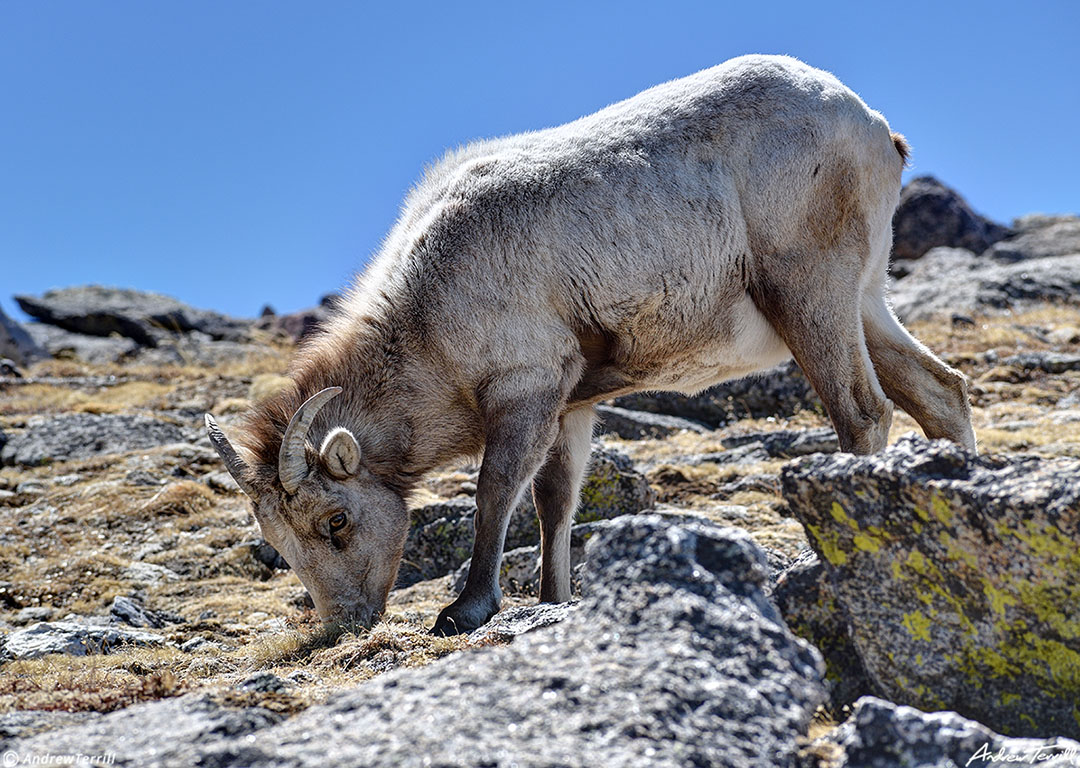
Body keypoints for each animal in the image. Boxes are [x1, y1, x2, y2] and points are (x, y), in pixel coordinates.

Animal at [206, 54, 976, 635]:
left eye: (335, 520)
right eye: (280, 544)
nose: (345, 625)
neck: (423, 315)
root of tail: (874, 129)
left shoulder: (526, 388)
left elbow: (497, 490)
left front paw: (466, 610)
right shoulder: (573, 406)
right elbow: (556, 502)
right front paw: (554, 600)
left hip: (811, 295)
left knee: (863, 413)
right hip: (864, 303)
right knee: (940, 393)